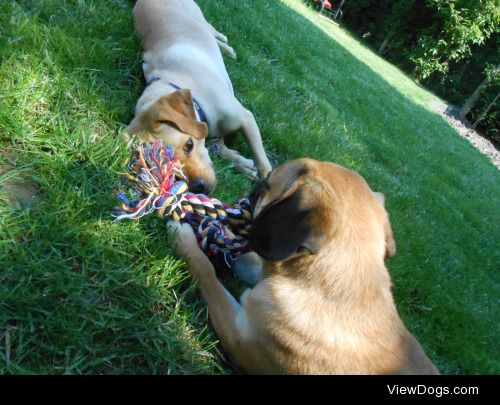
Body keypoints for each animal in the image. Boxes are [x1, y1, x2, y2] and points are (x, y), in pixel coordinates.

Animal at [127, 0, 272, 194]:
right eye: (162, 167)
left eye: (189, 145)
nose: (198, 187)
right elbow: (224, 151)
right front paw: (245, 165)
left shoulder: (246, 118)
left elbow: (263, 162)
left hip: (197, 15)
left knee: (212, 31)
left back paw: (227, 46)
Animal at [170, 159, 440, 374]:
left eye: (267, 182)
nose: (254, 187)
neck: (335, 285)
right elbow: (247, 259)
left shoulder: (236, 333)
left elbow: (207, 274)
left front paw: (185, 240)